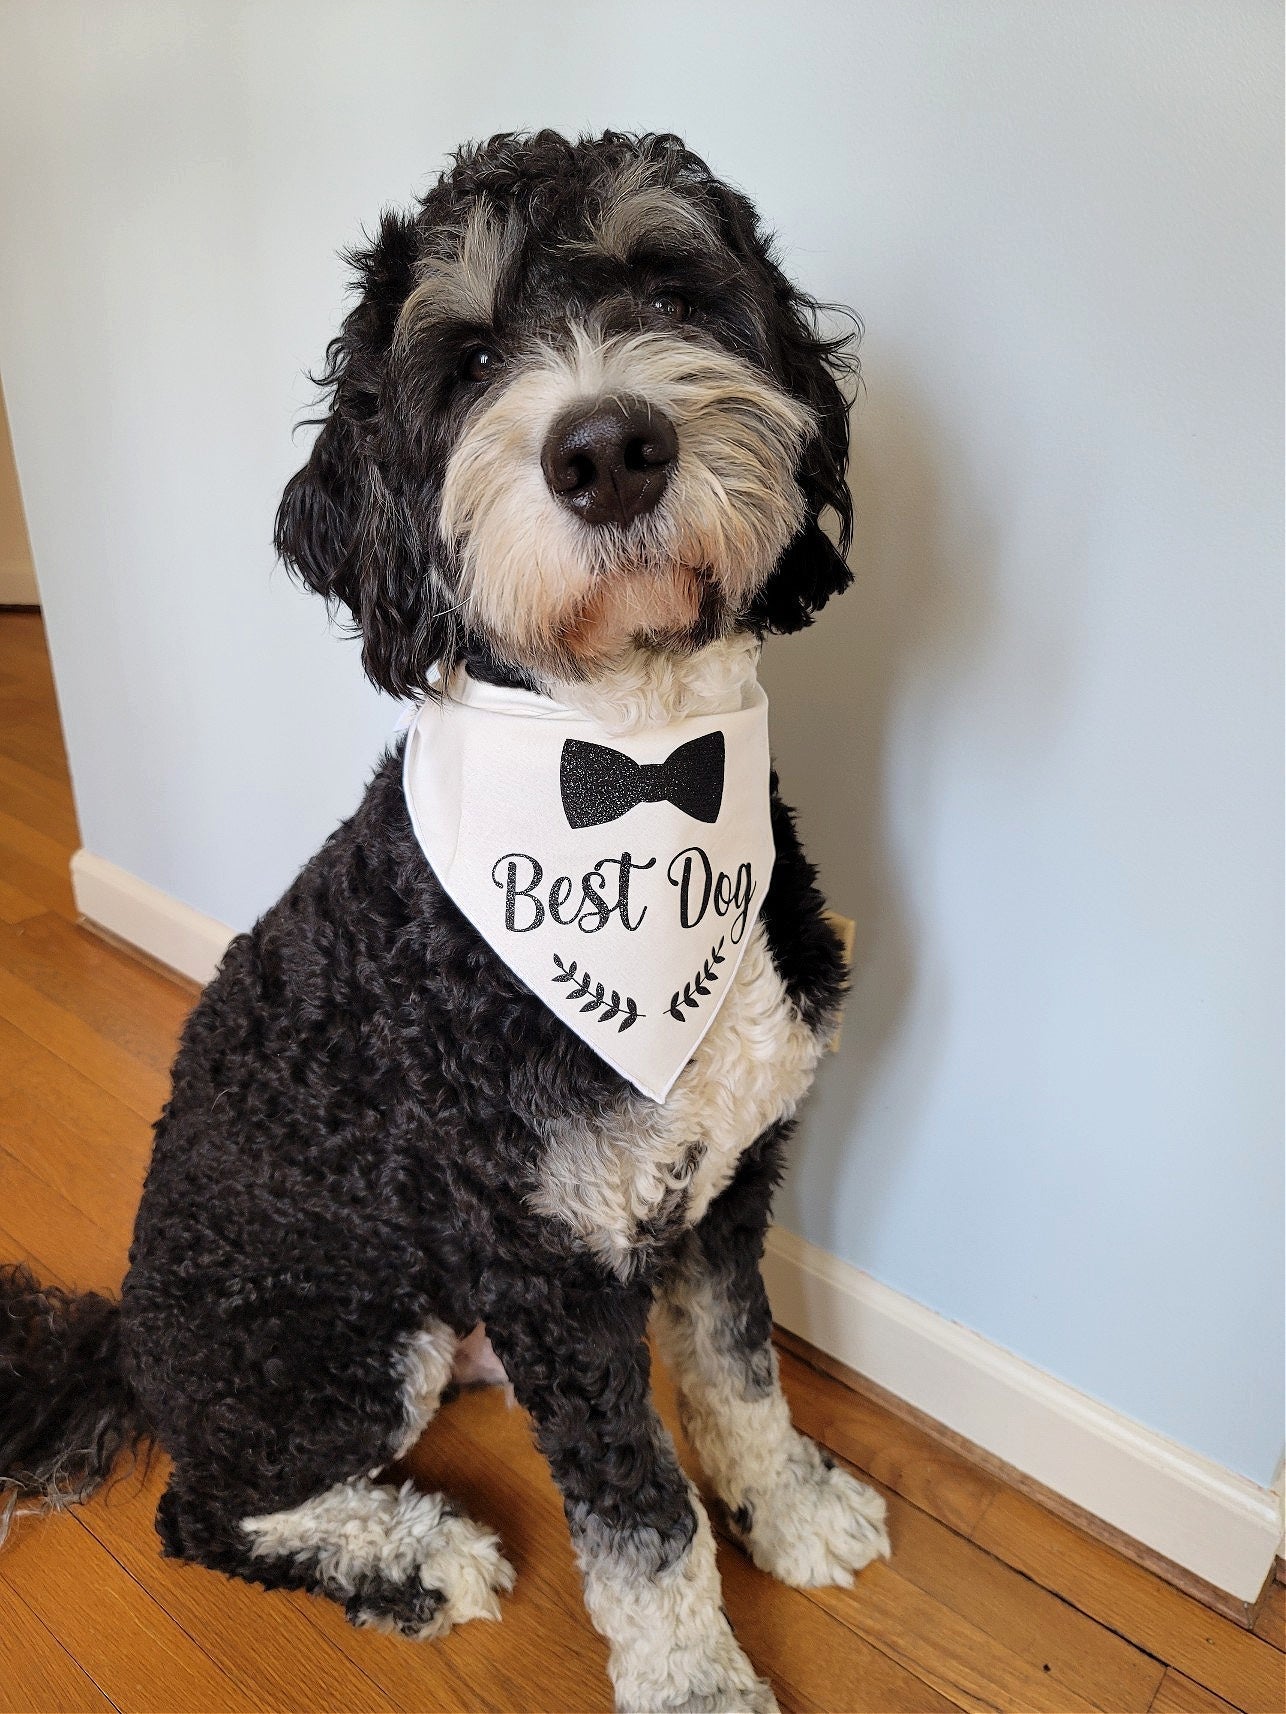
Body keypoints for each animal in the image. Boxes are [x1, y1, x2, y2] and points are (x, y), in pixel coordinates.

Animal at [0, 130, 891, 1714]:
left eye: (671, 282)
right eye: (467, 356)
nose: (607, 450)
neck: (635, 766)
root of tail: (133, 1343)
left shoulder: (721, 1193)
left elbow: (737, 1374)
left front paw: (788, 1509)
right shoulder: (550, 1268)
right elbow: (644, 1520)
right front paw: (699, 1680)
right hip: (342, 1337)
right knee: (207, 1509)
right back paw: (417, 1557)